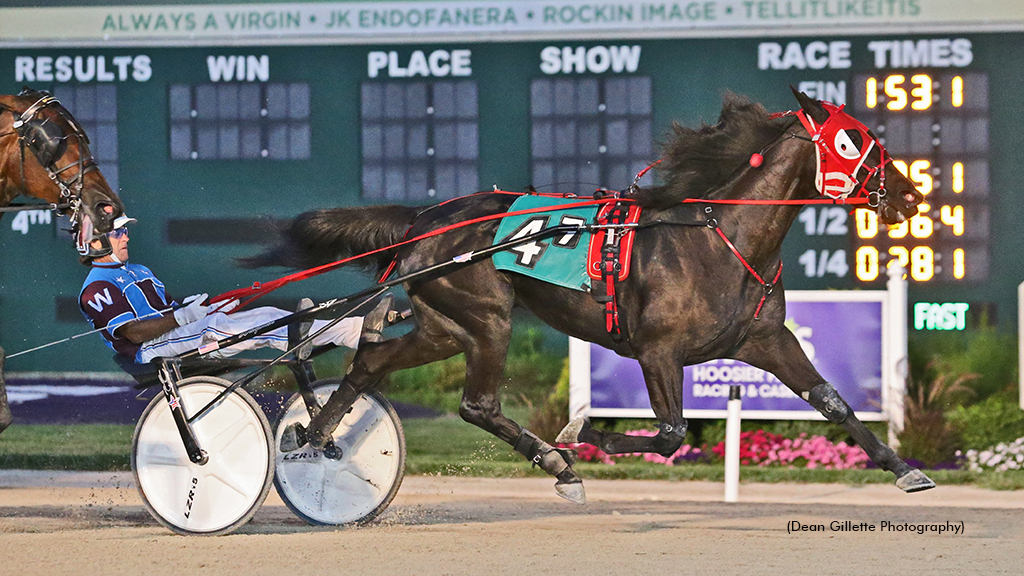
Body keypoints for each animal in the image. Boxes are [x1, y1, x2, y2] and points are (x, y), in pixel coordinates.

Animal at [247, 90, 937, 502]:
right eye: (851, 141)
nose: (911, 194)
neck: (722, 241)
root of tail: (425, 218)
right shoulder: (658, 350)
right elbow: (671, 433)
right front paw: (586, 432)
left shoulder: (764, 339)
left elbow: (833, 402)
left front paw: (905, 469)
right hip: (486, 317)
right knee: (475, 404)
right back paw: (559, 462)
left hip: (445, 325)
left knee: (372, 364)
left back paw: (315, 438)